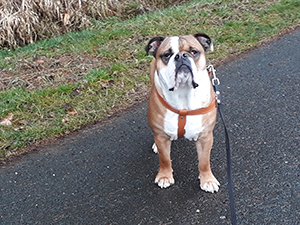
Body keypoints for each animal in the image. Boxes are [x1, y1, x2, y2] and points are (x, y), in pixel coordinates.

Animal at [146, 32, 219, 192]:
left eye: (193, 52)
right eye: (167, 55)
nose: (181, 56)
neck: (183, 94)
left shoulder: (205, 137)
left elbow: (204, 161)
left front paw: (207, 180)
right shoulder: (161, 137)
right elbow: (165, 159)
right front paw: (165, 176)